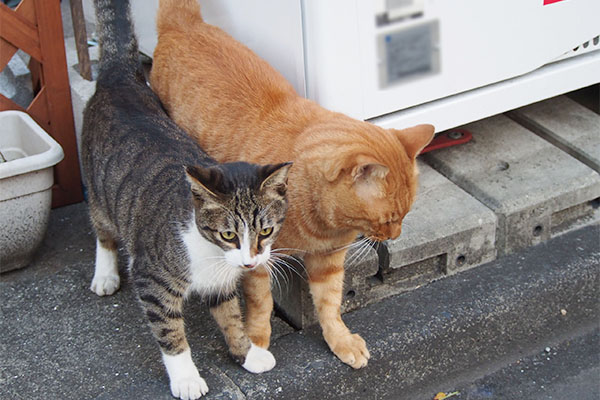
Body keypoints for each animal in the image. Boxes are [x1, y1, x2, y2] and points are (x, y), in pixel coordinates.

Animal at [82, 1, 292, 398]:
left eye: (266, 230)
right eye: (228, 234)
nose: (250, 260)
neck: (209, 252)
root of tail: (119, 77)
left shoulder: (221, 284)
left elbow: (231, 316)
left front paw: (246, 352)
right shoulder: (152, 279)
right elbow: (170, 332)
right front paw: (186, 378)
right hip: (99, 189)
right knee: (102, 230)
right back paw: (105, 273)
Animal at [150, 0, 432, 368]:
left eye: (404, 216)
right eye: (388, 219)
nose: (395, 236)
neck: (323, 226)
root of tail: (183, 22)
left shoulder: (329, 261)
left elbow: (330, 304)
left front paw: (339, 339)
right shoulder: (255, 258)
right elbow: (261, 303)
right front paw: (256, 341)